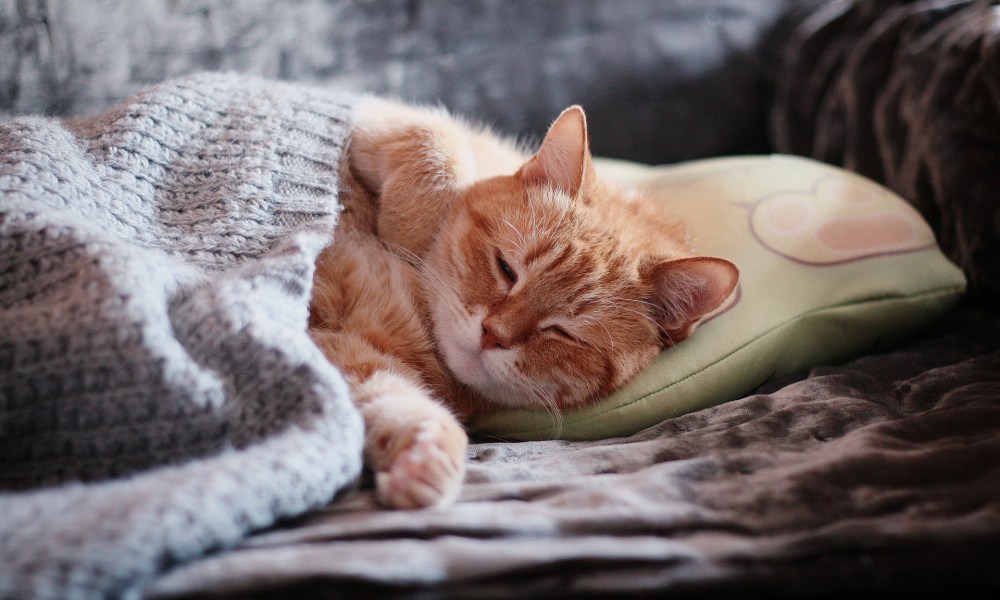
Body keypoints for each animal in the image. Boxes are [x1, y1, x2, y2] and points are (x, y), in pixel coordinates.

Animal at [308, 99, 740, 510]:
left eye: (563, 333)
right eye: (506, 269)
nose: (491, 335)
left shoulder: (352, 354)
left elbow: (390, 398)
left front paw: (424, 459)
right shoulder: (371, 111)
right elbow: (432, 139)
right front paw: (412, 229)